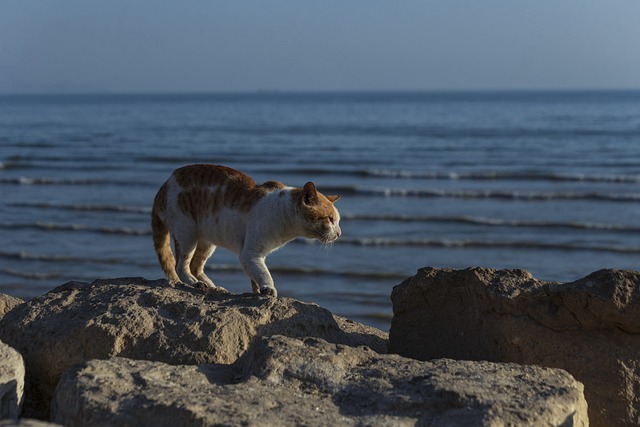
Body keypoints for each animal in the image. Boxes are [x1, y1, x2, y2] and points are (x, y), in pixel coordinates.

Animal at [151, 164, 340, 298]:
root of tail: (164, 186)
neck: (282, 210)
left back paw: (213, 286)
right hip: (187, 233)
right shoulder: (250, 253)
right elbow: (264, 273)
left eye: (338, 221)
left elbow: (255, 275)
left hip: (207, 241)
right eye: (329, 219)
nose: (339, 233)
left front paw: (257, 291)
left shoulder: (255, 255)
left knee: (195, 266)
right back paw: (195, 283)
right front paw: (268, 288)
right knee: (181, 266)